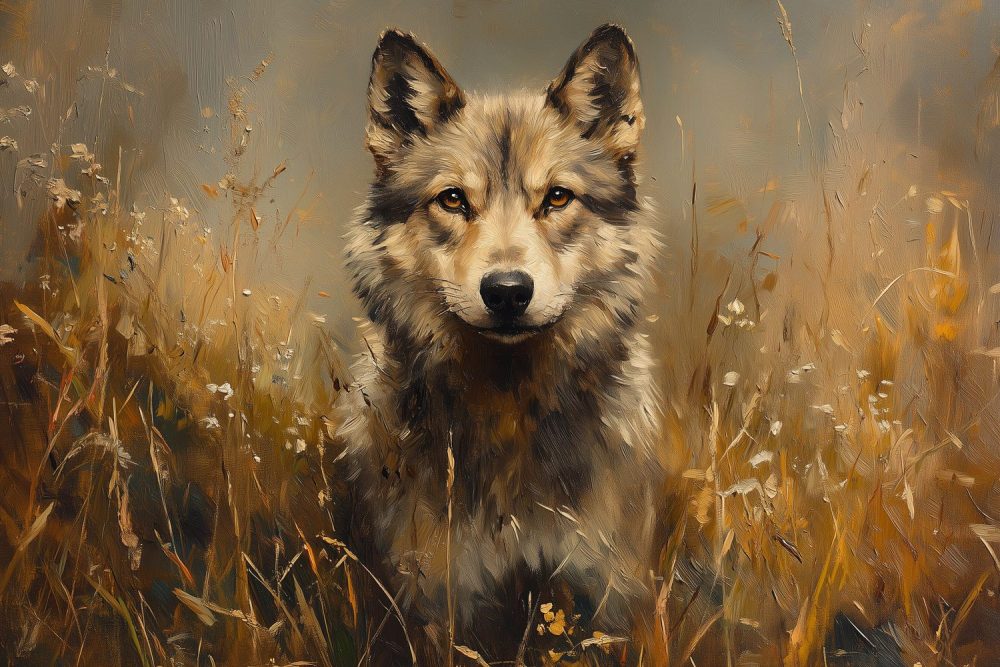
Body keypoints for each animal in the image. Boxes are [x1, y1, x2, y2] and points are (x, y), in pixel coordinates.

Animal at [335, 24, 673, 665]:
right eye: (453, 200)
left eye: (558, 198)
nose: (508, 291)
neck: (509, 410)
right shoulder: (436, 603)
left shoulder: (609, 595)